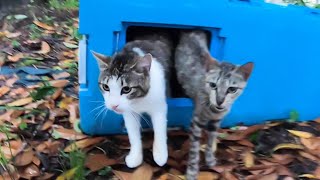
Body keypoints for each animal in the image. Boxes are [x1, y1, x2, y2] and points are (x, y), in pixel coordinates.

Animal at [91, 34, 174, 168]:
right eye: (105, 87)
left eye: (126, 89)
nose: (114, 105)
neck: (138, 99)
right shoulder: (129, 112)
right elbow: (133, 133)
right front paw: (135, 156)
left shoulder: (159, 104)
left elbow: (160, 128)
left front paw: (160, 154)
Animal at [174, 30, 254, 179]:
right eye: (213, 85)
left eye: (232, 89)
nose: (220, 100)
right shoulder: (196, 120)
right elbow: (194, 149)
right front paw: (192, 171)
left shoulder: (216, 122)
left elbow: (211, 140)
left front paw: (210, 159)